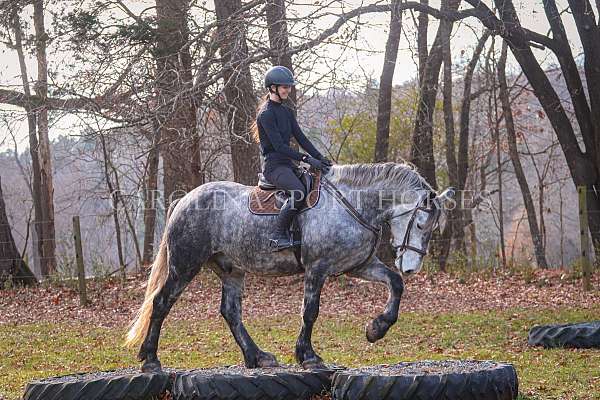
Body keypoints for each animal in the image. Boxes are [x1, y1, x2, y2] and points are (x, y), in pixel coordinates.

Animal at [126, 162, 454, 372]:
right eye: (421, 224)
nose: (411, 267)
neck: (352, 203)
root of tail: (184, 200)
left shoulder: (358, 265)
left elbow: (395, 284)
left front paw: (376, 329)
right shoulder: (317, 269)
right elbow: (310, 312)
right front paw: (308, 356)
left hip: (231, 269)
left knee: (230, 312)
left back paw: (257, 357)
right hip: (185, 265)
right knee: (161, 303)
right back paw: (151, 359)